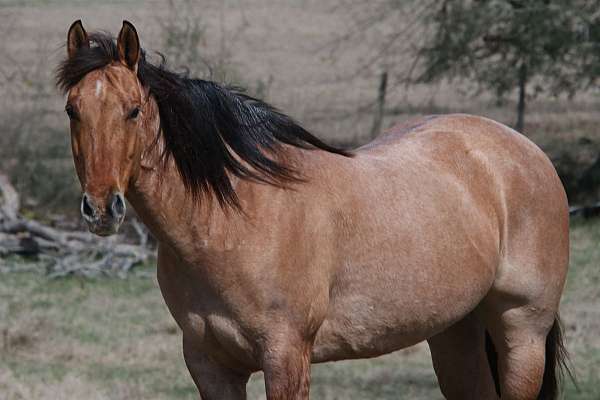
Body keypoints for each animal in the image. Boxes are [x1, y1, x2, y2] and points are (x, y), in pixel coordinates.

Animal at [57, 20, 572, 398]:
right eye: (71, 110)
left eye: (133, 110)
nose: (101, 208)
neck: (233, 221)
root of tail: (525, 150)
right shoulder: (209, 364)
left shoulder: (286, 356)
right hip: (455, 333)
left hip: (522, 333)